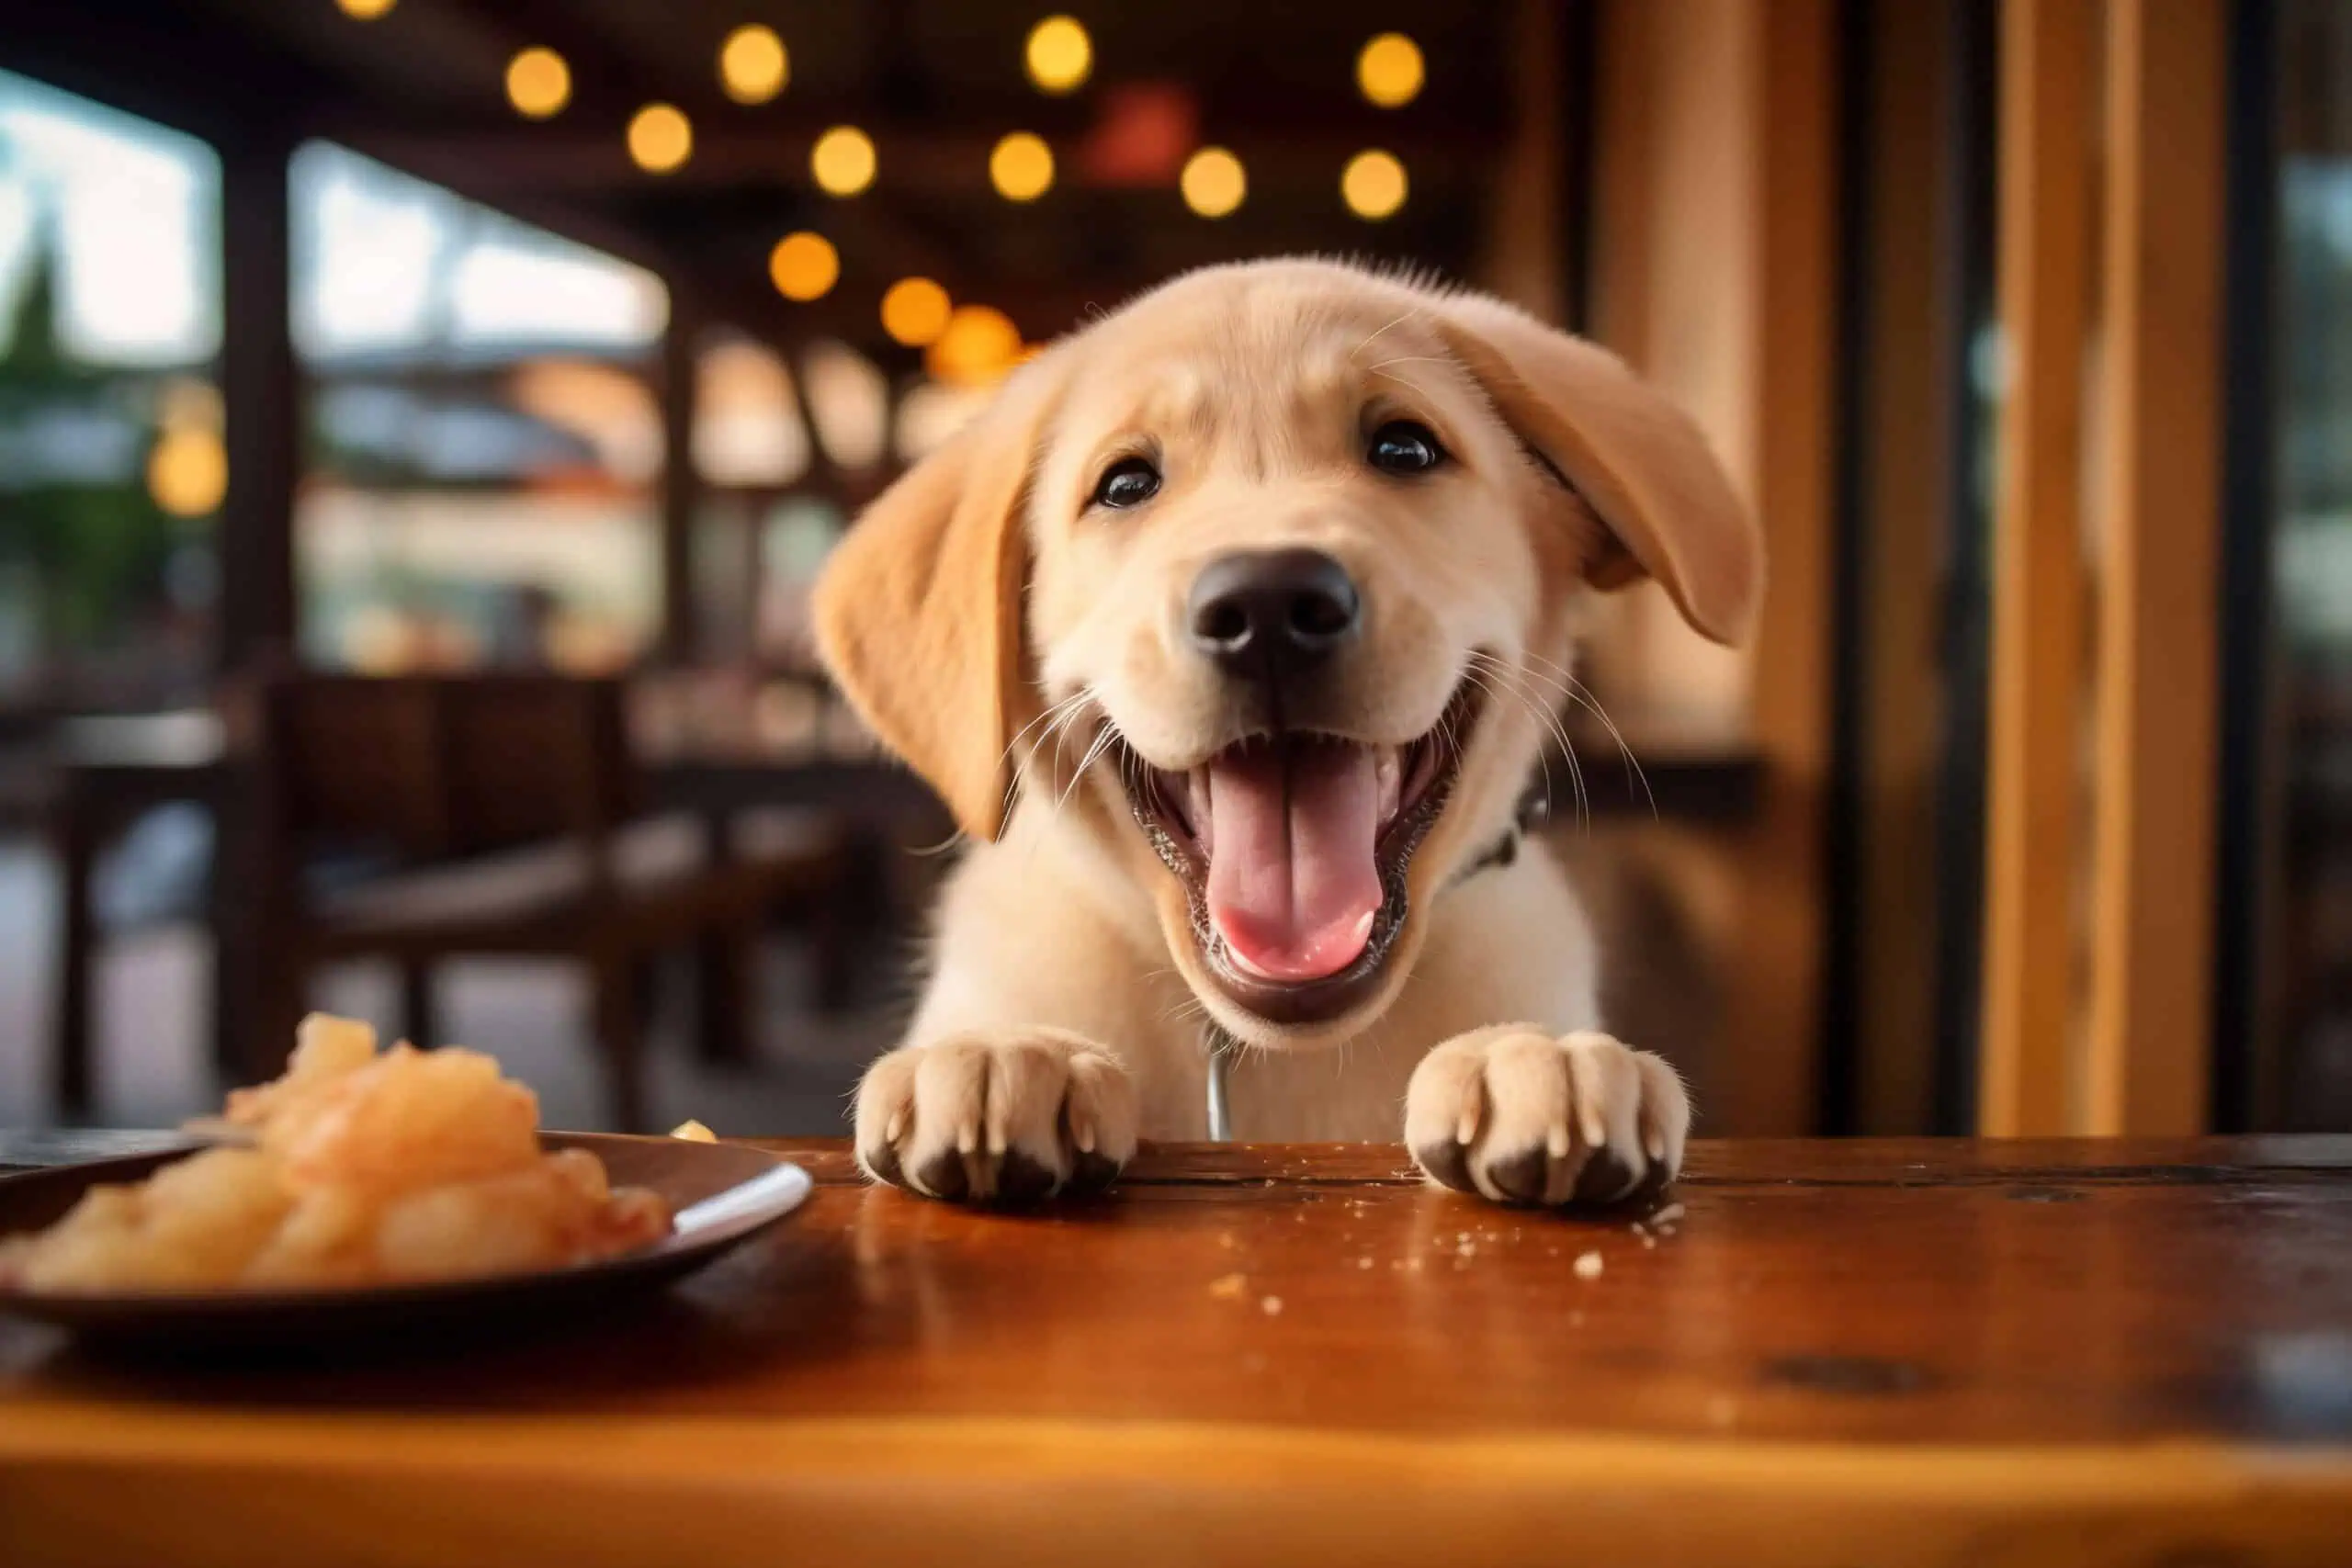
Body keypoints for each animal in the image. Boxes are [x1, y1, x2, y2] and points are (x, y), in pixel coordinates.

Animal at [818, 263, 1758, 1213]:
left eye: (1406, 449)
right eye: (1125, 484)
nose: (1267, 605)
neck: (1274, 1050)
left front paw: (1528, 1053)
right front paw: (1008, 1051)